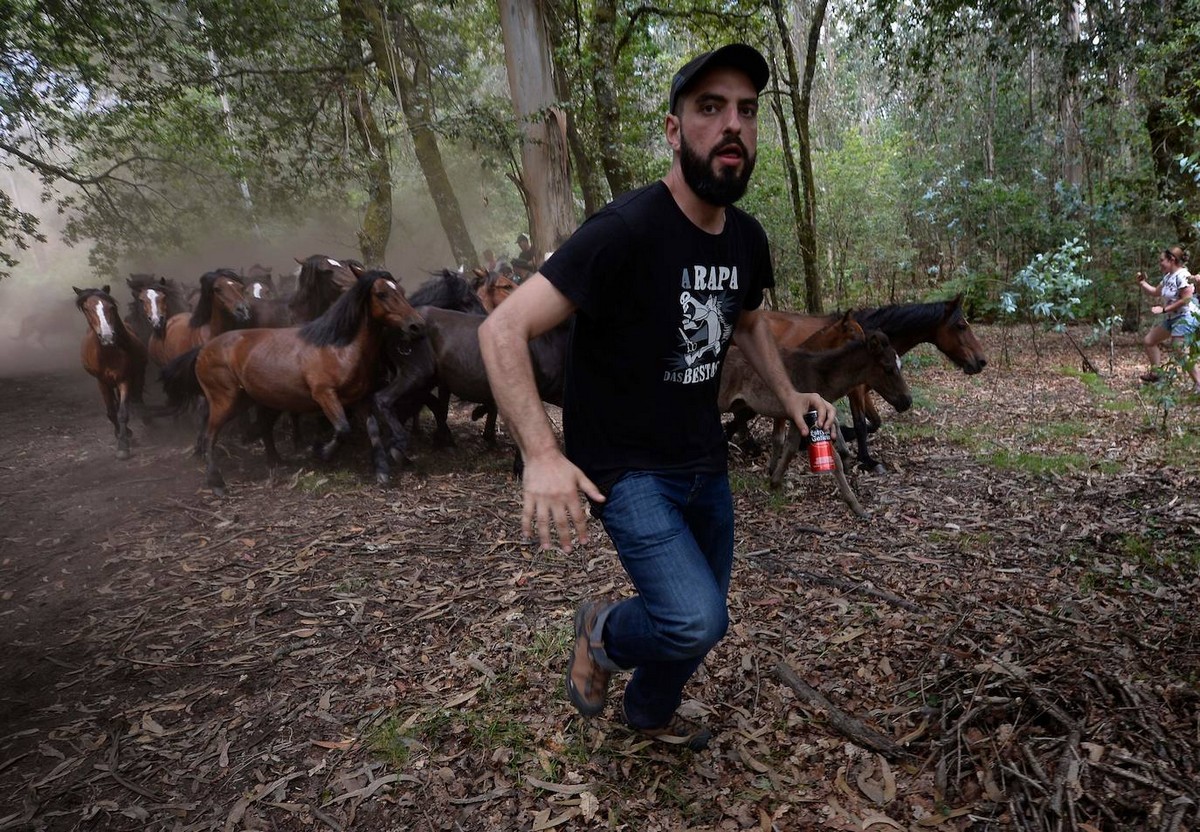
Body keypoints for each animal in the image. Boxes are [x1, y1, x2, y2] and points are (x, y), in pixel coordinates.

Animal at [74, 289, 147, 461]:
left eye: (111, 307)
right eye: (87, 309)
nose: (107, 337)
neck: (108, 352)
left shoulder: (124, 379)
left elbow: (122, 412)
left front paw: (123, 446)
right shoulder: (102, 382)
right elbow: (111, 412)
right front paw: (121, 434)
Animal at [169, 268, 422, 492]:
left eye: (400, 290)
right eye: (381, 294)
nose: (416, 325)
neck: (339, 348)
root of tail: (204, 349)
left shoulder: (361, 400)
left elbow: (373, 432)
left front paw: (382, 472)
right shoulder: (325, 395)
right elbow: (343, 429)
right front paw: (320, 451)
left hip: (257, 400)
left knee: (263, 427)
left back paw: (274, 461)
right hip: (225, 401)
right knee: (210, 436)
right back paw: (216, 483)